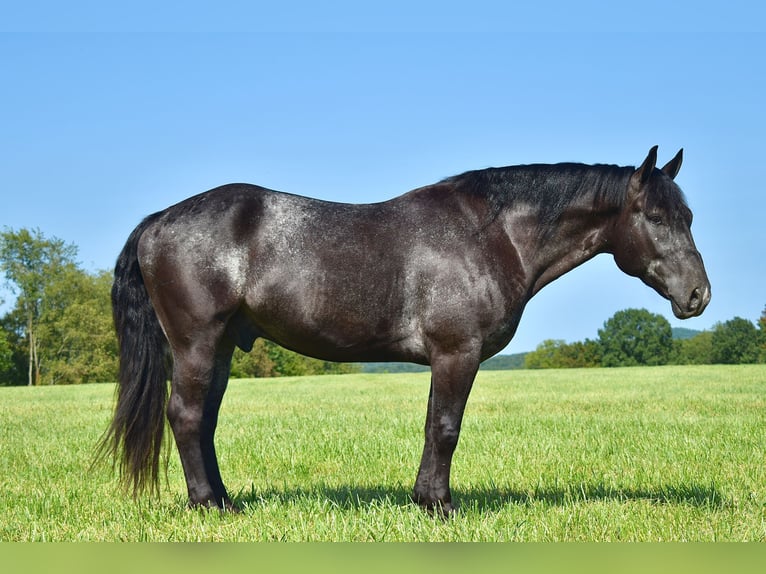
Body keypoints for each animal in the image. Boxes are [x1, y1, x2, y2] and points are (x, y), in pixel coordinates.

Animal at [97, 146, 712, 516]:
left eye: (689, 217)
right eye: (656, 217)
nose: (698, 296)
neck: (489, 236)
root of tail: (158, 221)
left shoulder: (448, 358)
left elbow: (433, 426)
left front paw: (423, 500)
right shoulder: (458, 353)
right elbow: (445, 429)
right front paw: (440, 506)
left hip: (223, 347)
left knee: (204, 421)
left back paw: (225, 500)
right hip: (197, 344)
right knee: (186, 416)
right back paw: (208, 505)